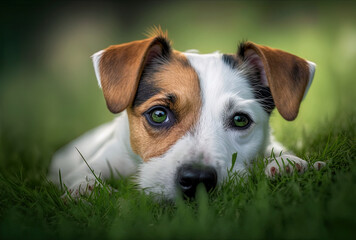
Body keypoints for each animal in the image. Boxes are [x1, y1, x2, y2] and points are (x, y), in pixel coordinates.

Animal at [48, 29, 326, 200]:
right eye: (158, 115)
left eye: (240, 120)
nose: (198, 180)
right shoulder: (108, 157)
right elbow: (83, 174)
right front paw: (85, 188)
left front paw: (289, 163)